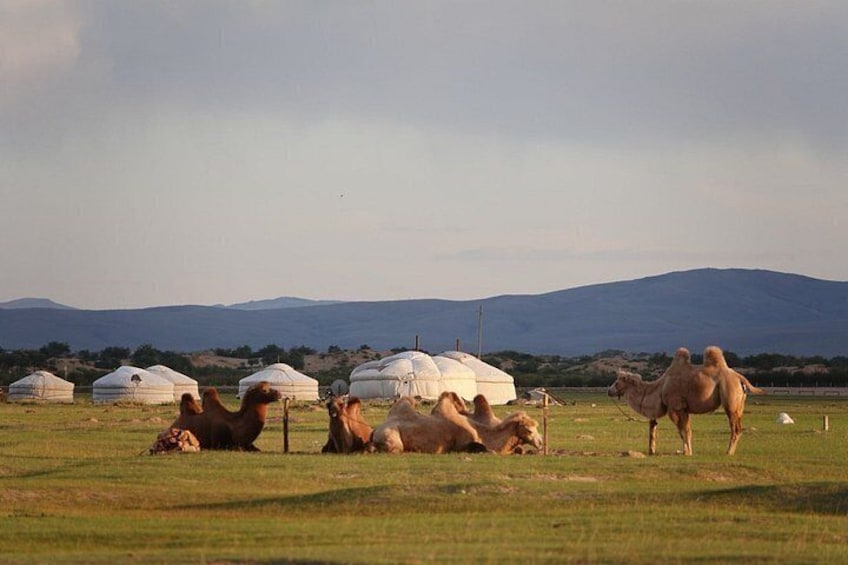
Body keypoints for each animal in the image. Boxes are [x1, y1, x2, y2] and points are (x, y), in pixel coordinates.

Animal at [608, 346, 765, 455]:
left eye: (617, 381)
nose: (609, 390)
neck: (659, 387)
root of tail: (740, 378)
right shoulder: (685, 409)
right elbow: (687, 430)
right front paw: (688, 451)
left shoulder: (675, 407)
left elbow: (681, 430)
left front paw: (686, 452)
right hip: (740, 405)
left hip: (730, 399)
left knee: (735, 428)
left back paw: (728, 452)